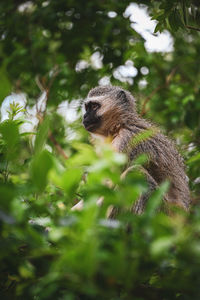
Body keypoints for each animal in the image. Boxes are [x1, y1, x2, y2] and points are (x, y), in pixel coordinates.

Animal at [82, 85, 191, 213]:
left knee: (135, 171)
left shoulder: (126, 141)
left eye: (94, 106)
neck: (120, 126)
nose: (84, 116)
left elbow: (108, 186)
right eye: (87, 107)